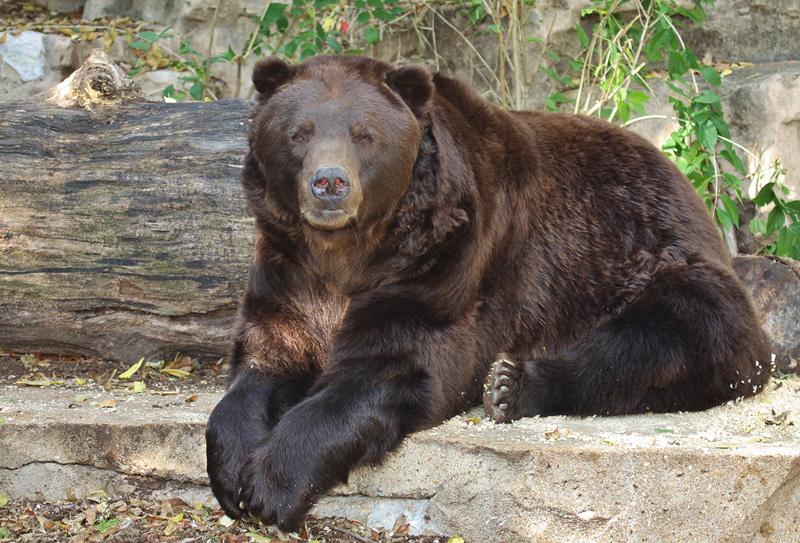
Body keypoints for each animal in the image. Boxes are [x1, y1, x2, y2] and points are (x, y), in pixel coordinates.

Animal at [205, 55, 771, 531]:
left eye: (363, 134)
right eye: (298, 133)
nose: (329, 183)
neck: (348, 253)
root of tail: (684, 184)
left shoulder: (441, 271)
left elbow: (393, 366)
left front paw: (269, 484)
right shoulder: (289, 272)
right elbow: (264, 363)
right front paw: (232, 470)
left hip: (647, 260)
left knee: (663, 337)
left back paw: (509, 385)